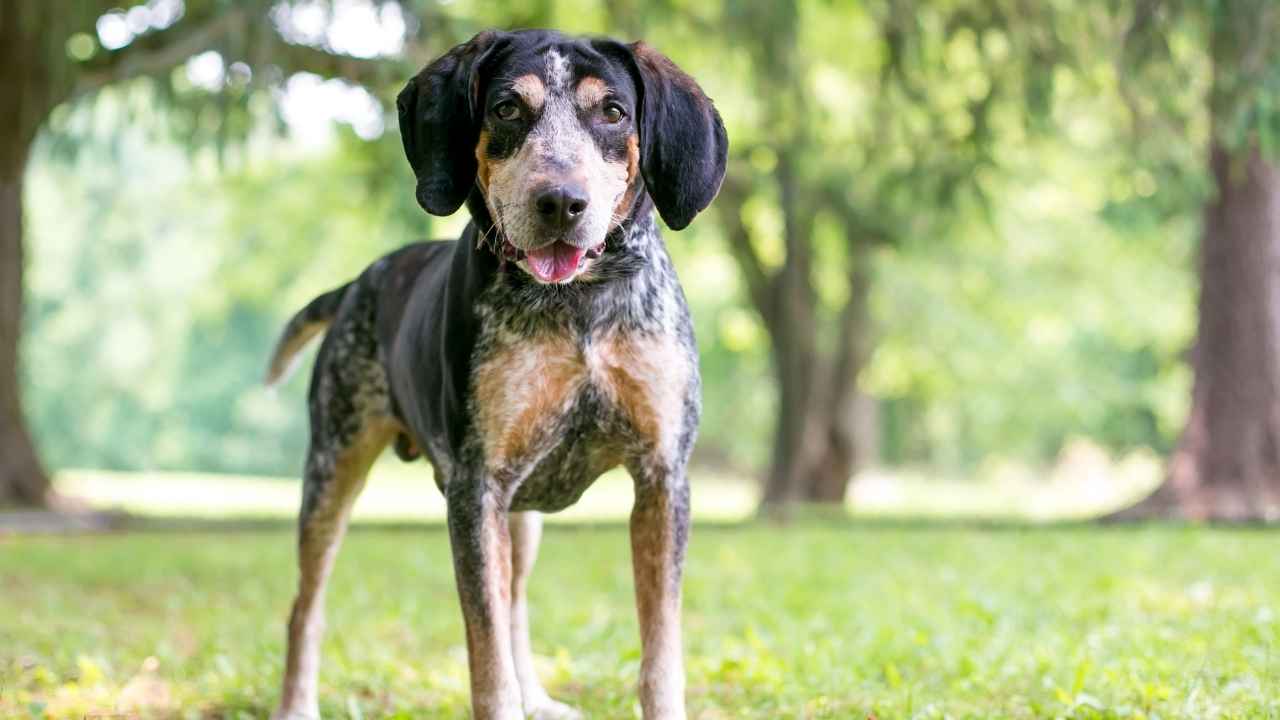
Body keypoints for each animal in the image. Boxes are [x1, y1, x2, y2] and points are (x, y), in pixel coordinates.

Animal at [267, 29, 732, 717]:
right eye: (508, 109)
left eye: (613, 112)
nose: (562, 202)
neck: (578, 304)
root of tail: (357, 284)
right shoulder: (476, 488)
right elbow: (487, 662)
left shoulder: (662, 478)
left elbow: (660, 652)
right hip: (333, 473)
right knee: (307, 606)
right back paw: (297, 704)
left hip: (524, 514)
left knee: (515, 605)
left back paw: (538, 697)